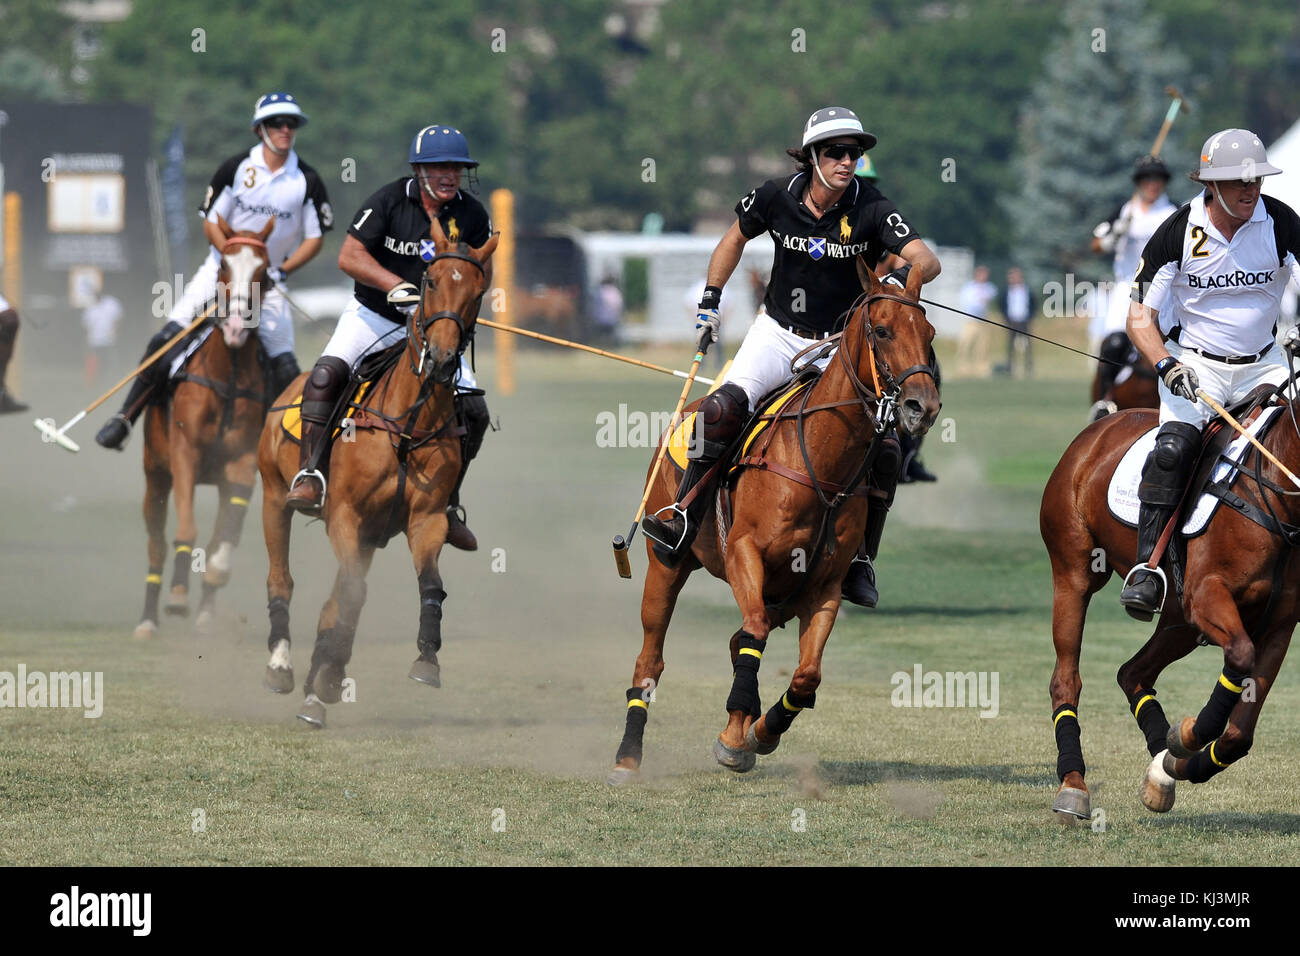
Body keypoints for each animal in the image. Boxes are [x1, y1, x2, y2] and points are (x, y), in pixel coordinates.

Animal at [135, 214, 273, 639]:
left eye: (265, 270)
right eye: (223, 265)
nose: (236, 327)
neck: (227, 375)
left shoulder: (241, 462)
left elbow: (225, 537)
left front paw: (215, 577)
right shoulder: (184, 455)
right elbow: (186, 530)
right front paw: (178, 595)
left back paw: (206, 613)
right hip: (155, 473)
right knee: (156, 543)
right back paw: (148, 619)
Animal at [257, 218, 496, 723]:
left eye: (479, 291)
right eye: (429, 282)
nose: (442, 360)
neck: (407, 425)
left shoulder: (425, 519)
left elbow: (429, 585)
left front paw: (426, 659)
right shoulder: (344, 514)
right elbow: (350, 596)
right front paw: (321, 681)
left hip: (366, 535)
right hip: (273, 497)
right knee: (281, 578)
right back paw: (282, 667)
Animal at [613, 264, 941, 785]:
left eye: (929, 335)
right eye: (883, 330)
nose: (921, 407)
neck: (822, 462)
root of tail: (688, 411)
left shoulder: (823, 586)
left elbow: (806, 676)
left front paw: (759, 732)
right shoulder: (744, 552)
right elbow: (753, 635)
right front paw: (736, 738)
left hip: (782, 593)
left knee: (740, 639)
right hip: (668, 563)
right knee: (652, 658)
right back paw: (628, 756)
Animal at [1045, 400, 1300, 816]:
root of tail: (1098, 428)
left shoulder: (1279, 625)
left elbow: (1239, 734)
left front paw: (1175, 764)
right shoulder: (1206, 593)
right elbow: (1239, 656)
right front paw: (1185, 738)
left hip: (1178, 621)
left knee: (1132, 672)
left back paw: (1159, 773)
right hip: (1073, 572)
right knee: (1066, 680)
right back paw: (1073, 786)